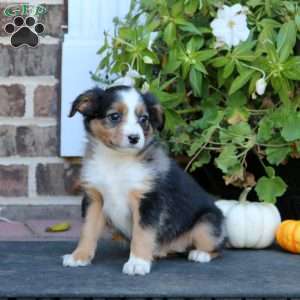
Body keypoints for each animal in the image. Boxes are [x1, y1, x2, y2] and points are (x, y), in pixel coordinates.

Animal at [62, 85, 224, 276]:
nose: (134, 138)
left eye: (143, 119)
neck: (117, 161)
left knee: (218, 247)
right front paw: (79, 256)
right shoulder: (94, 198)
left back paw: (200, 254)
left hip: (207, 223)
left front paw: (137, 263)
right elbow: (88, 230)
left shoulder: (147, 200)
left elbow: (142, 234)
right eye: (114, 116)